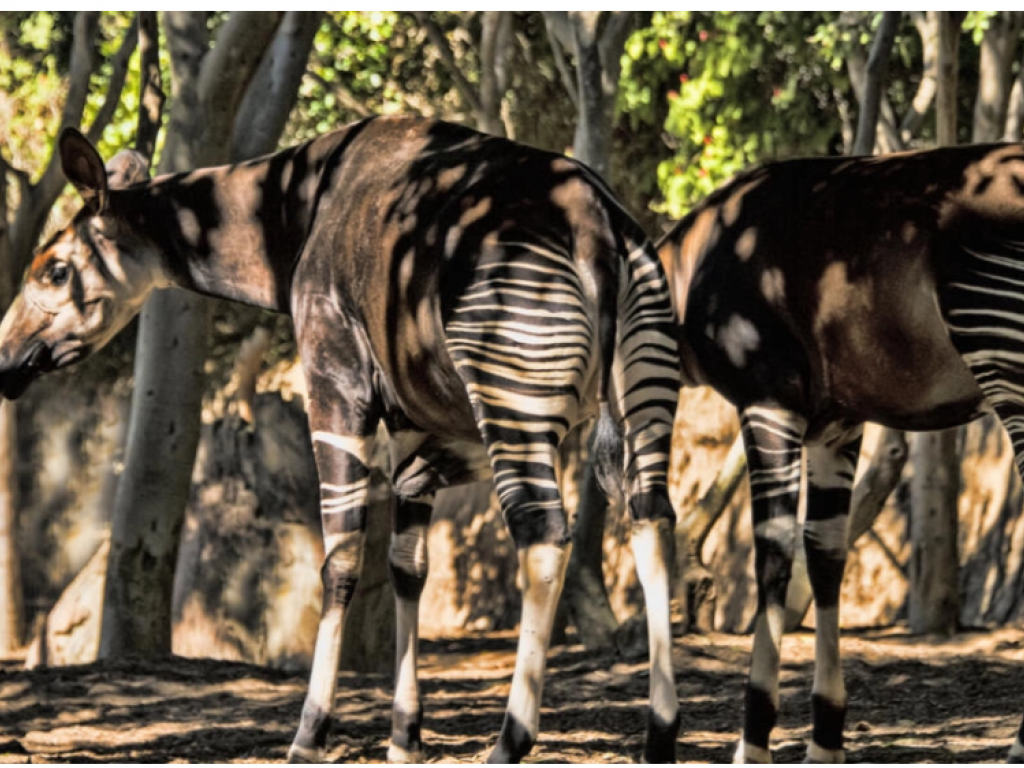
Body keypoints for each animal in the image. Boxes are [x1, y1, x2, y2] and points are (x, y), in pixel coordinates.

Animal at [0, 116, 682, 763]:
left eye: (55, 271)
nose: (5, 358)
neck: (292, 214)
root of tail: (594, 222)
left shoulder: (335, 385)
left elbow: (340, 561)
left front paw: (309, 734)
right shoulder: (414, 420)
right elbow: (408, 565)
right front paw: (404, 739)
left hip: (510, 394)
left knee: (543, 533)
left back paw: (510, 741)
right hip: (644, 391)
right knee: (651, 518)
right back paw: (660, 735)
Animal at [658, 141, 1024, 764]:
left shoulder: (769, 401)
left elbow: (773, 552)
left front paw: (752, 741)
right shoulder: (838, 426)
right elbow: (825, 553)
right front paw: (825, 741)